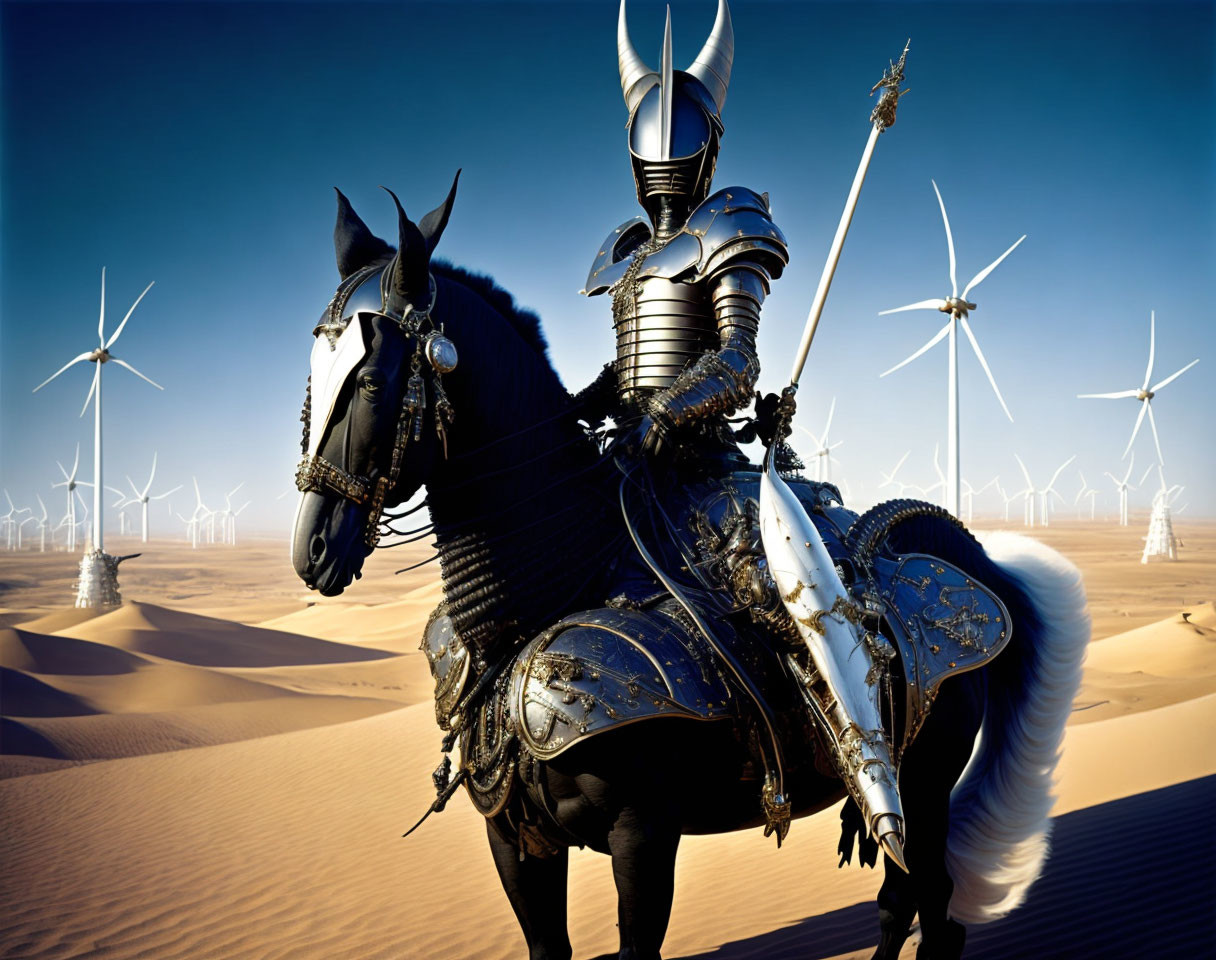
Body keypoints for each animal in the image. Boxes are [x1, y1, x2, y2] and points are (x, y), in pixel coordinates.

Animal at [289, 177, 1089, 949]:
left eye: (369, 383)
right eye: (309, 383)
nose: (313, 550)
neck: (555, 586)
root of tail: (963, 555)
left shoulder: (644, 835)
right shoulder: (514, 838)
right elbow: (549, 947)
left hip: (924, 780)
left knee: (933, 909)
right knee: (905, 908)